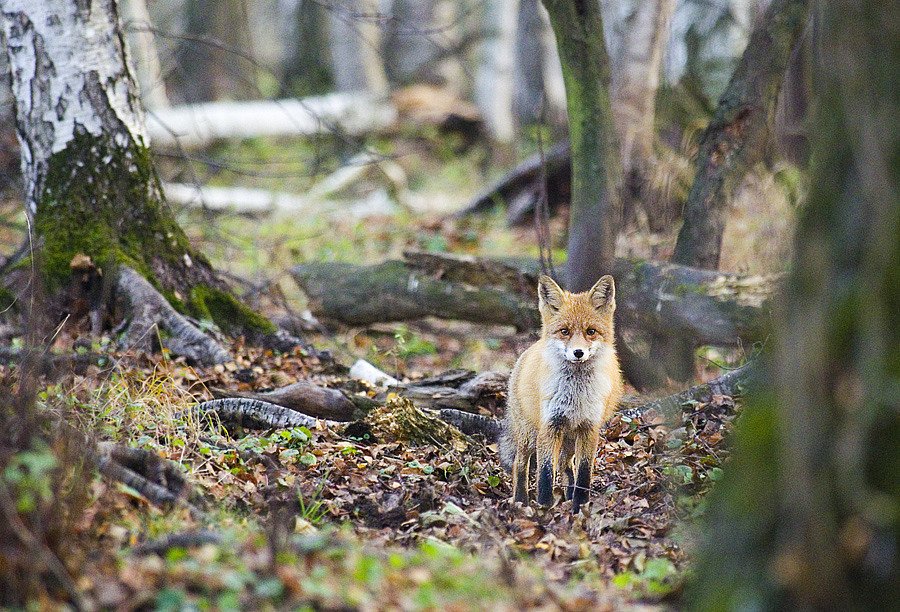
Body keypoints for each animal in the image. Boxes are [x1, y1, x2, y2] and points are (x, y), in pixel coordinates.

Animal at [500, 274, 624, 512]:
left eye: (590, 331)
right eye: (565, 331)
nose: (578, 352)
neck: (575, 394)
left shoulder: (589, 429)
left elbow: (583, 474)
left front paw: (580, 507)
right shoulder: (550, 426)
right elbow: (545, 474)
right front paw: (544, 507)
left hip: (569, 441)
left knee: (566, 465)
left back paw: (568, 494)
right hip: (529, 435)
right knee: (520, 464)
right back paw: (520, 500)